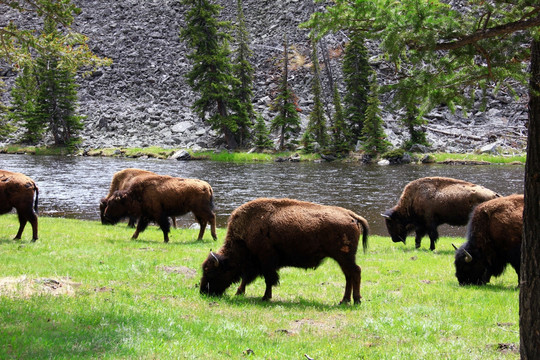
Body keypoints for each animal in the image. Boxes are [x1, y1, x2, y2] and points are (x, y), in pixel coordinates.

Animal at [200, 198, 370, 306]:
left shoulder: (265, 261)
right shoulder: (257, 264)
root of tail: (351, 215)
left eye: (211, 271)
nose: (203, 292)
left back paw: (356, 300)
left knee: (355, 272)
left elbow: (268, 279)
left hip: (344, 257)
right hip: (343, 259)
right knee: (349, 275)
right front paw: (240, 292)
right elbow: (248, 279)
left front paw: (265, 297)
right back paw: (345, 300)